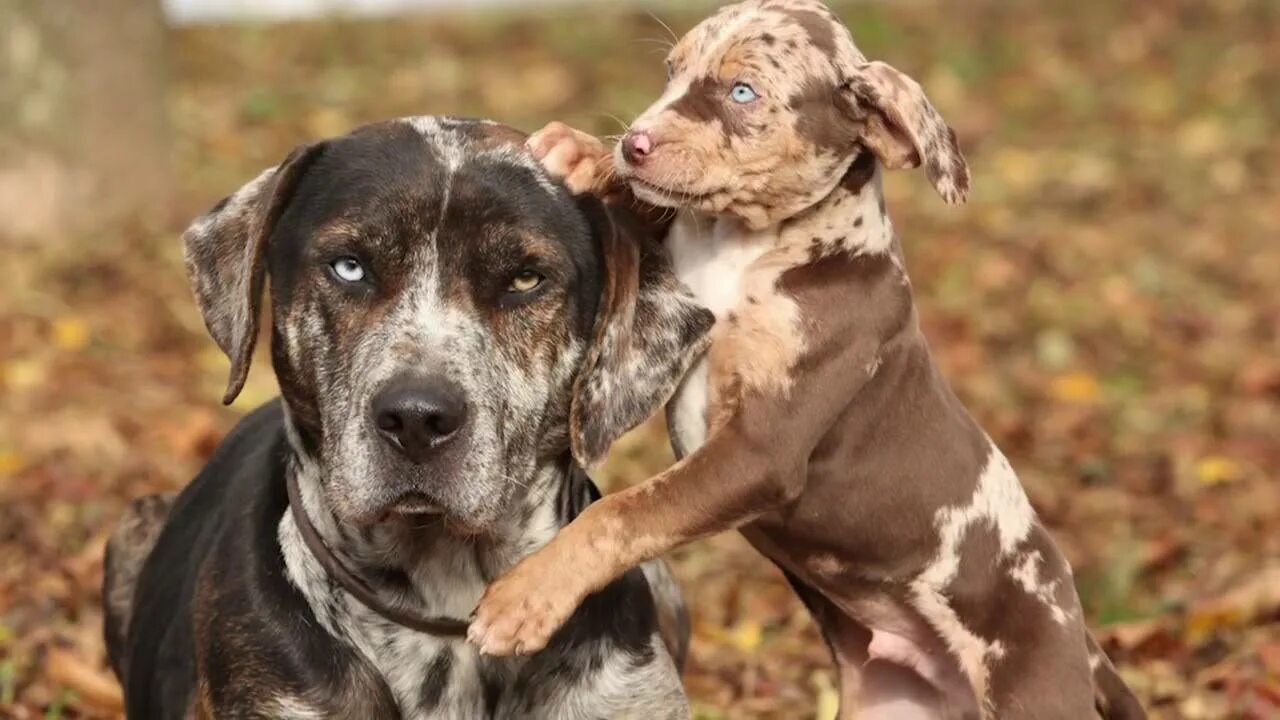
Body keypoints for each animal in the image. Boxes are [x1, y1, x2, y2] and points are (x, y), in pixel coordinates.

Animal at [468, 5, 1141, 717]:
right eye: (672, 72)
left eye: (743, 93)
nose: (635, 144)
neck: (743, 249)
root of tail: (1083, 639)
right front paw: (582, 155)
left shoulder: (762, 449)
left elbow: (624, 512)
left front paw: (524, 598)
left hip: (1030, 684)